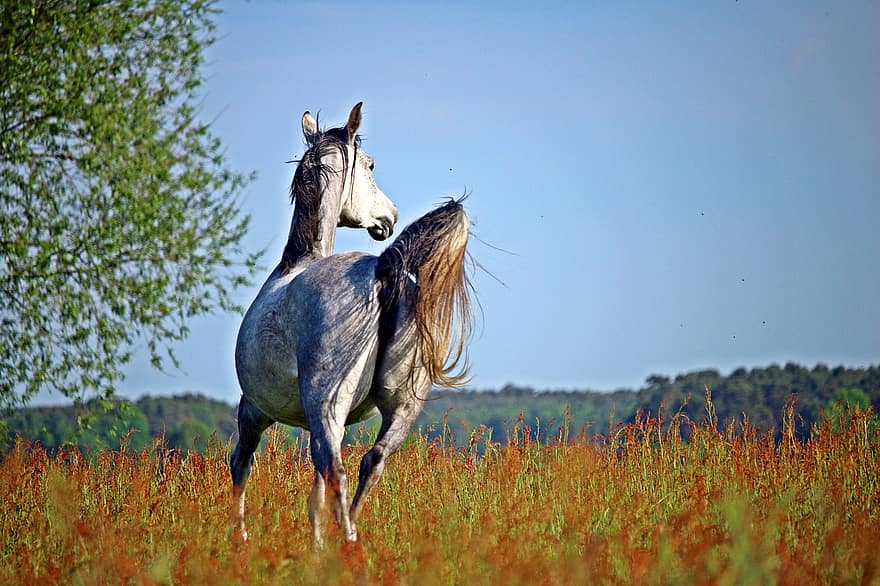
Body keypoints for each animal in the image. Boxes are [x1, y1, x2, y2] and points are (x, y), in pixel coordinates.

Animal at [229, 101, 474, 544]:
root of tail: (380, 268)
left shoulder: (253, 410)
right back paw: (350, 541)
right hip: (398, 408)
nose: (389, 216)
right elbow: (313, 495)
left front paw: (239, 538)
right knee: (369, 463)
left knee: (336, 472)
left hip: (325, 407)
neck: (295, 265)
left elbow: (242, 467)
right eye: (371, 164)